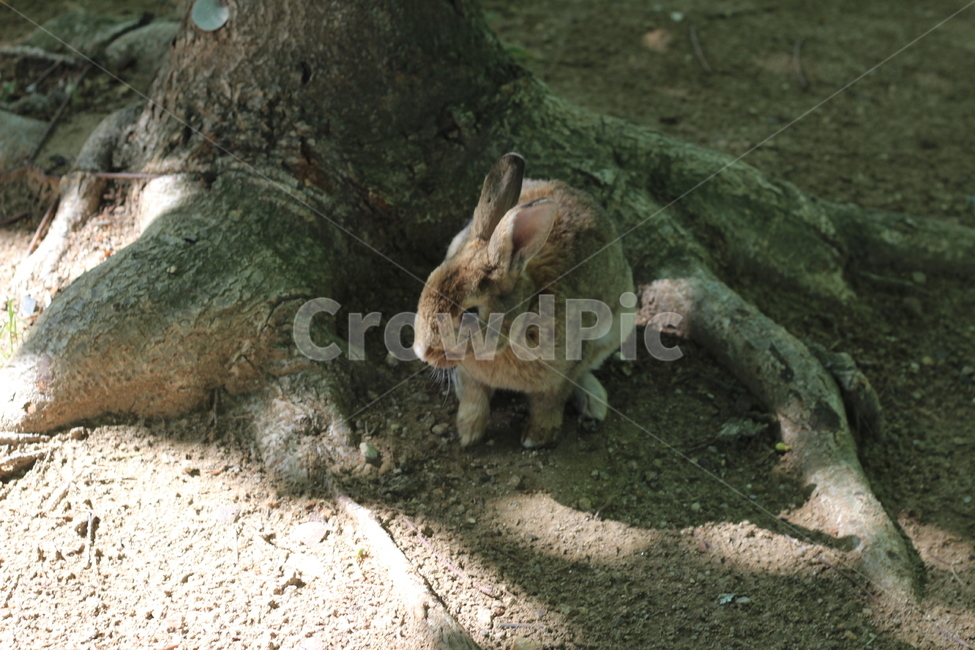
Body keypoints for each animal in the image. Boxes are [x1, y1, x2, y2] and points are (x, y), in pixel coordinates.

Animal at [413, 153, 635, 448]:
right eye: (430, 281)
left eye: (470, 313)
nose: (421, 351)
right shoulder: (470, 376)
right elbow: (474, 399)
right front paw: (468, 434)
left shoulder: (563, 372)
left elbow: (549, 404)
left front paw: (537, 437)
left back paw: (593, 402)